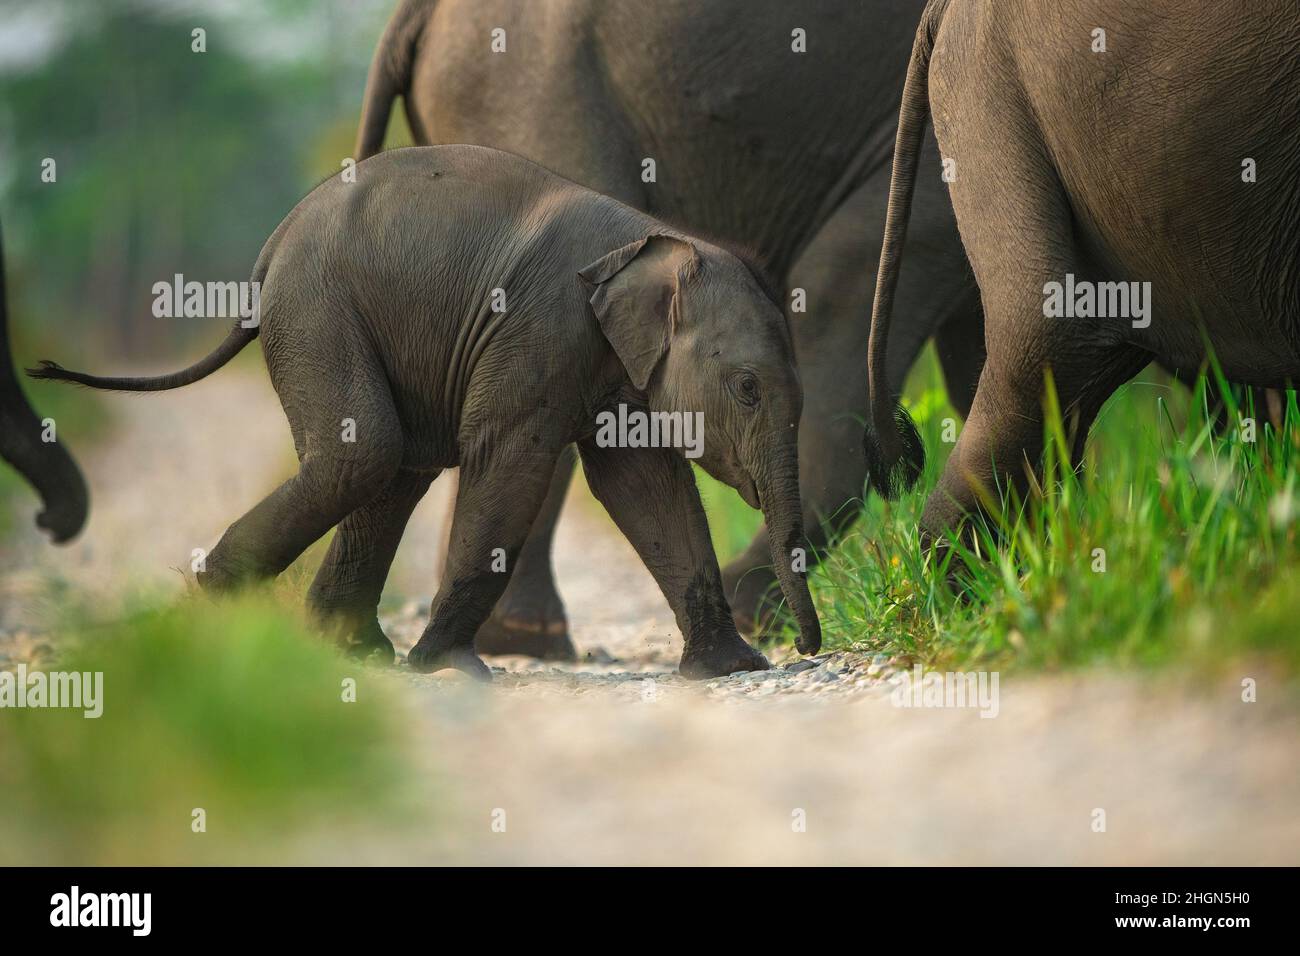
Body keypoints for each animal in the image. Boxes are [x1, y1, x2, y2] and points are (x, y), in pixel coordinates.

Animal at [38, 143, 821, 681]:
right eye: (747, 389)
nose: (804, 648)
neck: (657, 240)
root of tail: (270, 252)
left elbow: (645, 486)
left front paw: (731, 669)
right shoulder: (538, 332)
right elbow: (508, 462)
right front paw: (449, 667)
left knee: (393, 470)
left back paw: (350, 650)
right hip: (319, 311)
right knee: (364, 455)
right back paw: (218, 610)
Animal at [351, 0, 977, 658]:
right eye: (745, 390)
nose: (811, 648)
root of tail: (412, 16)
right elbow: (845, 279)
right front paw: (752, 615)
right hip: (531, 93)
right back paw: (526, 641)